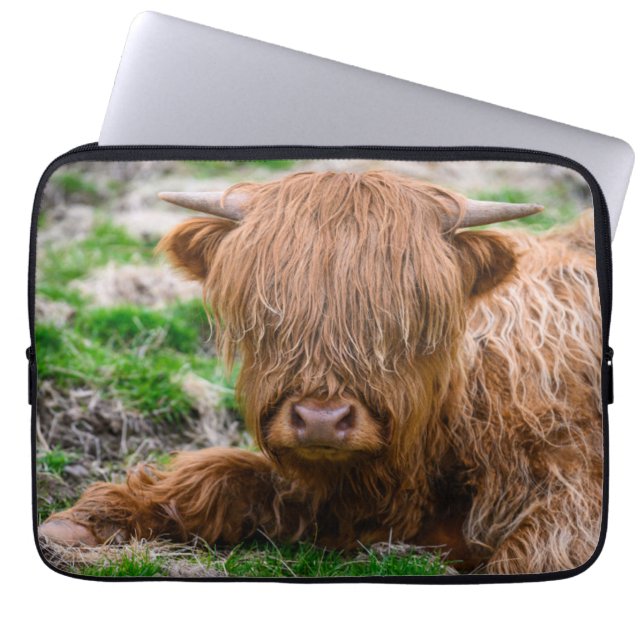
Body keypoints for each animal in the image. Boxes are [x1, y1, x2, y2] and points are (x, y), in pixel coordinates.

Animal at [40, 170, 603, 574]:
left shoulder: (572, 499)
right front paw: (85, 524)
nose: (321, 421)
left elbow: (528, 554)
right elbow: (218, 472)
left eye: (405, 319)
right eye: (269, 315)